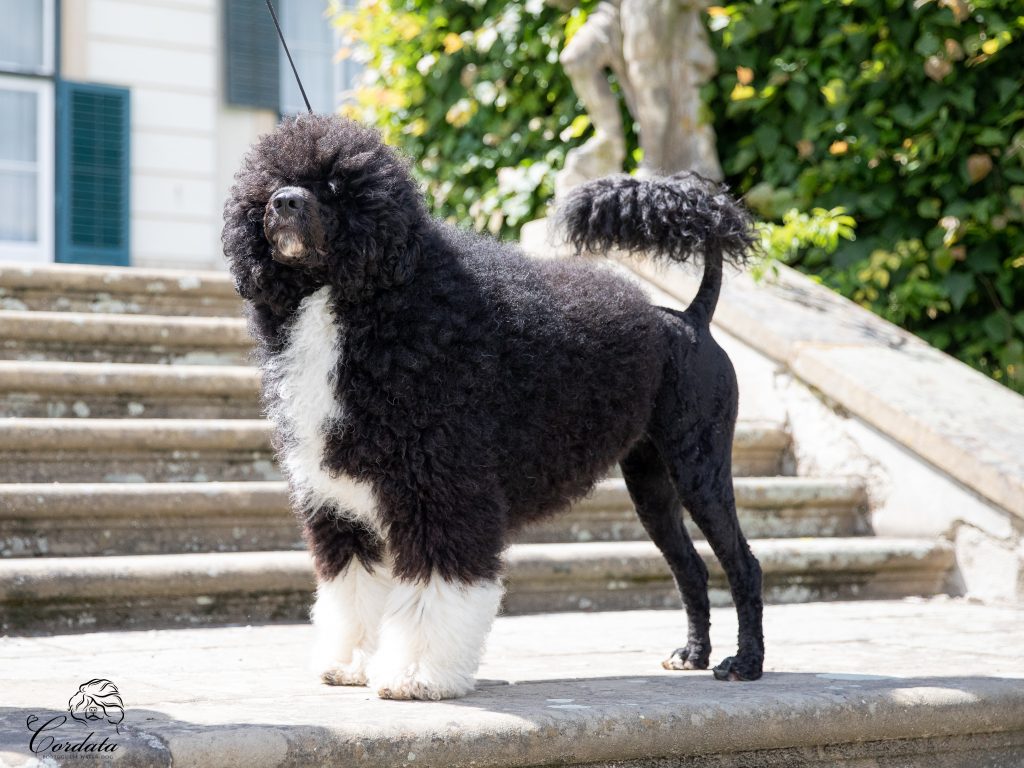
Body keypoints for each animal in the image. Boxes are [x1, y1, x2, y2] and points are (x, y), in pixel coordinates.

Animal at [222, 114, 762, 700]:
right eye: (272, 182)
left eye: (335, 187)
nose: (283, 203)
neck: (362, 305)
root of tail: (692, 317)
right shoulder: (341, 504)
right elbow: (355, 591)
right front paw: (352, 664)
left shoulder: (443, 490)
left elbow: (434, 590)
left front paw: (417, 676)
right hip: (650, 481)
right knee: (691, 568)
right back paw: (692, 655)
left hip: (699, 467)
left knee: (743, 564)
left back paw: (745, 663)